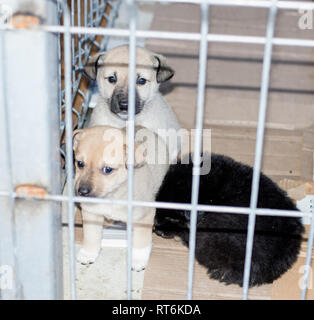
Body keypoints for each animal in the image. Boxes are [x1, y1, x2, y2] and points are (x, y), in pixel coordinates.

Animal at [72, 125, 169, 270]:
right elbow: (91, 236)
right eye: (80, 164)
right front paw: (88, 253)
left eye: (107, 169)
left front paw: (138, 259)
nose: (82, 191)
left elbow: (141, 241)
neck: (111, 196)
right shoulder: (91, 214)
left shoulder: (144, 217)